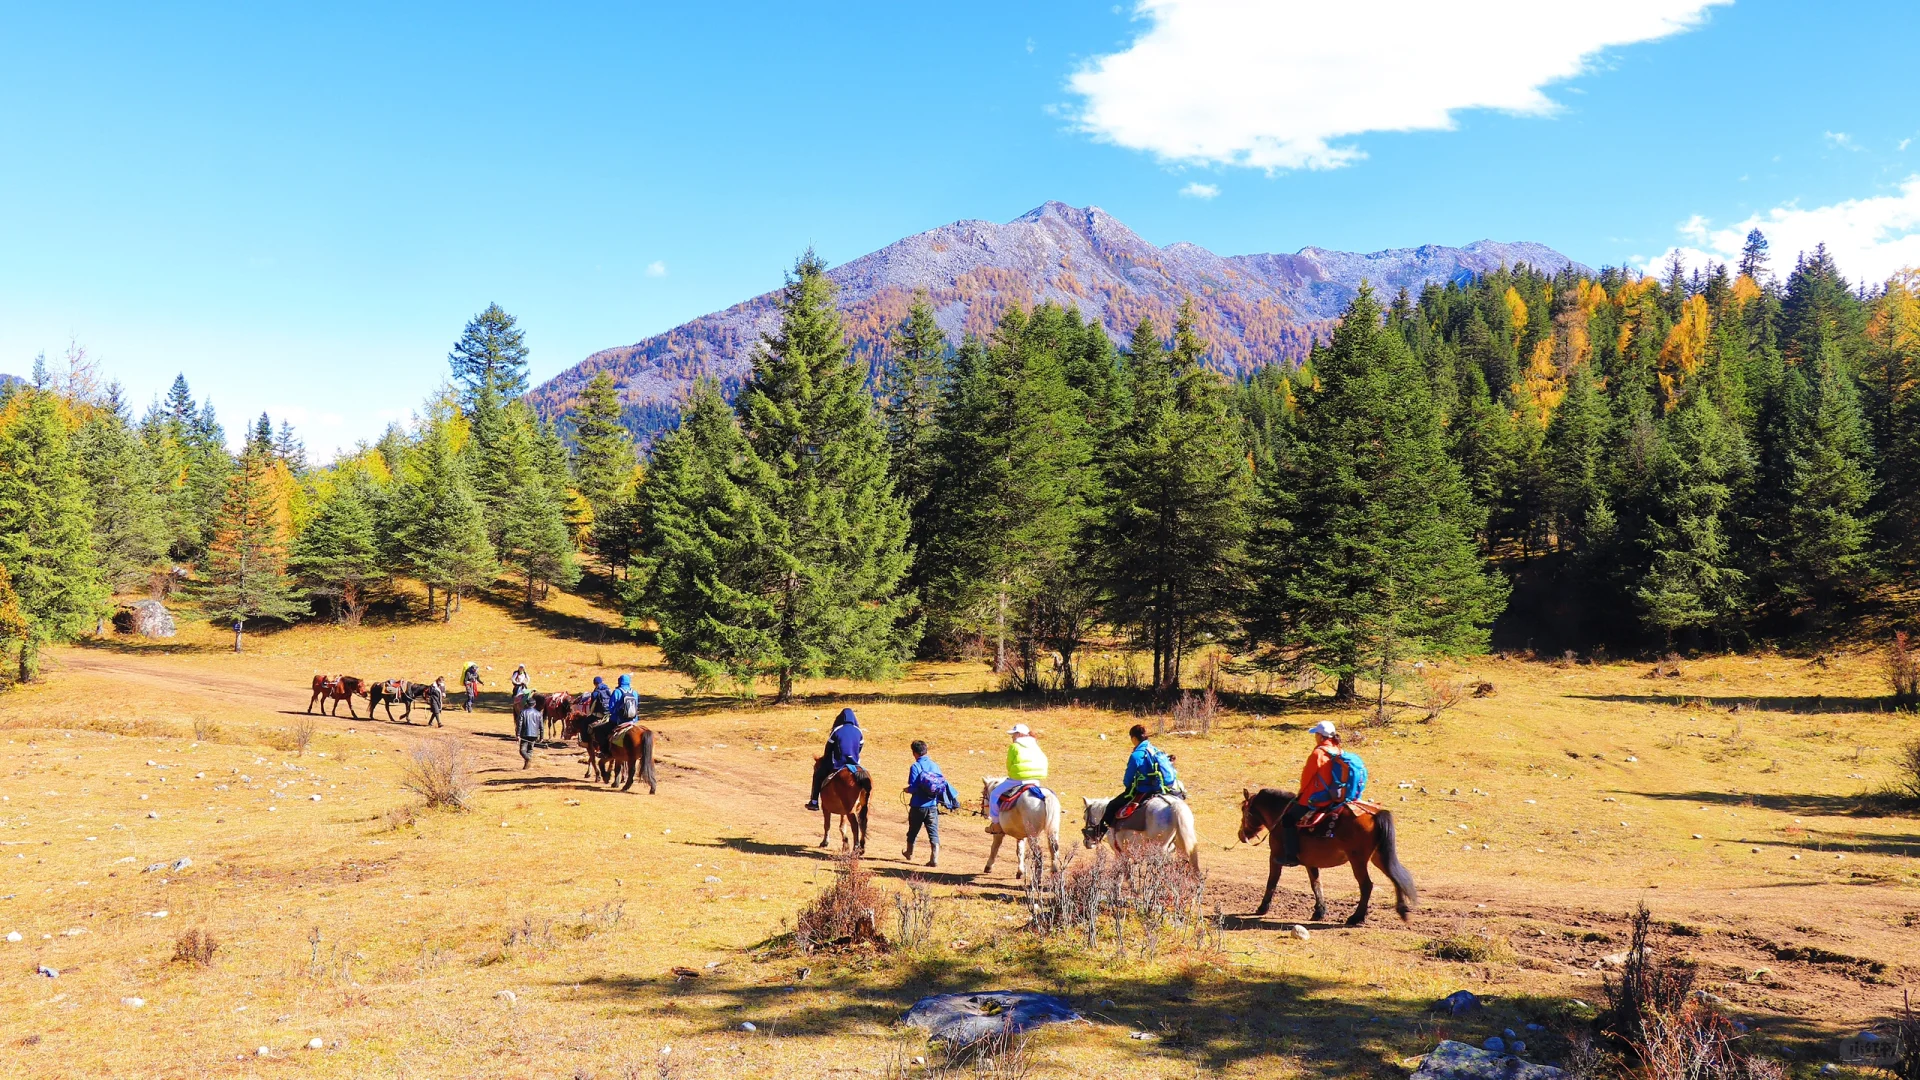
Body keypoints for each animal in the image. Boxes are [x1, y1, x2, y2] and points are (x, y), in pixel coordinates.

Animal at [1236, 780, 1420, 926]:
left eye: (1244, 810)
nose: (1241, 835)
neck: (1280, 816)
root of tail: (1374, 814)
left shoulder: (1275, 857)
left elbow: (1272, 882)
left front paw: (1262, 908)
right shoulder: (1310, 862)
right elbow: (1316, 884)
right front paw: (1319, 912)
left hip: (1358, 860)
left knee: (1367, 885)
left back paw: (1356, 918)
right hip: (1379, 857)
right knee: (1395, 878)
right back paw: (1402, 911)